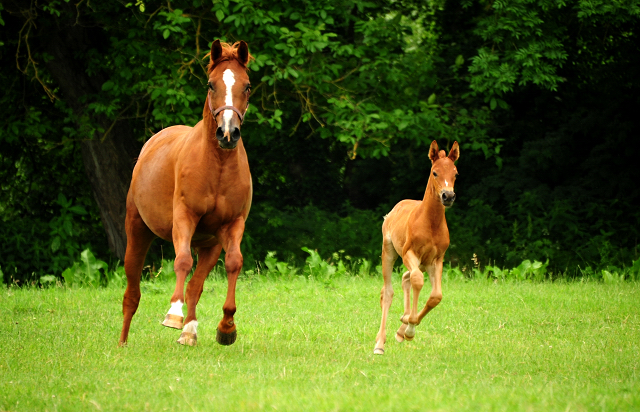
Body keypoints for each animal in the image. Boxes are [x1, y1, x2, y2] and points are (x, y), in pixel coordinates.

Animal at [119, 40, 252, 346]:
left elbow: (234, 263)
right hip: (137, 230)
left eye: (247, 86)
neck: (217, 166)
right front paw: (173, 314)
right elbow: (181, 261)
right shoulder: (184, 217)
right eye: (211, 84)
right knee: (132, 291)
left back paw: (190, 331)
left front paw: (226, 327)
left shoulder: (233, 224)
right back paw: (122, 343)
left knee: (195, 286)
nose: (228, 133)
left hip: (210, 244)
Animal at [376, 141, 460, 354]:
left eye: (455, 173)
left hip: (422, 263)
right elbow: (417, 281)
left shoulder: (436, 260)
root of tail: (396, 208)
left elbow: (436, 296)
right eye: (435, 172)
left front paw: (406, 327)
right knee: (388, 291)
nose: (448, 196)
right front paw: (409, 328)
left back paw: (402, 324)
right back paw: (380, 343)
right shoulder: (409, 253)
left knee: (406, 278)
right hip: (389, 252)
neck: (430, 223)